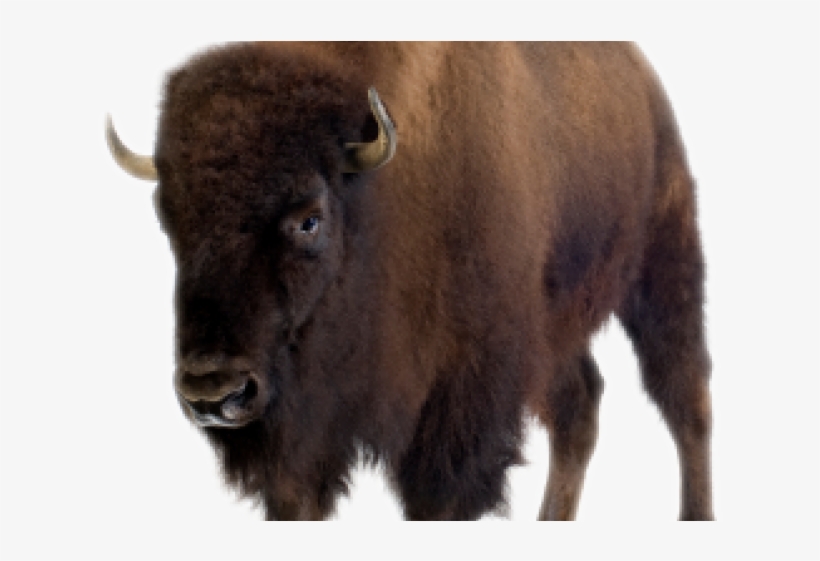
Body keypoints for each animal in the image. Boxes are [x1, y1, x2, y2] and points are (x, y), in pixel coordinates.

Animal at [106, 42, 713, 520]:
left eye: (309, 218)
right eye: (167, 216)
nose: (214, 391)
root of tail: (642, 78)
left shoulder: (461, 400)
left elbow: (439, 496)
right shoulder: (304, 438)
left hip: (662, 267)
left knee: (685, 398)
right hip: (557, 331)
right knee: (580, 408)